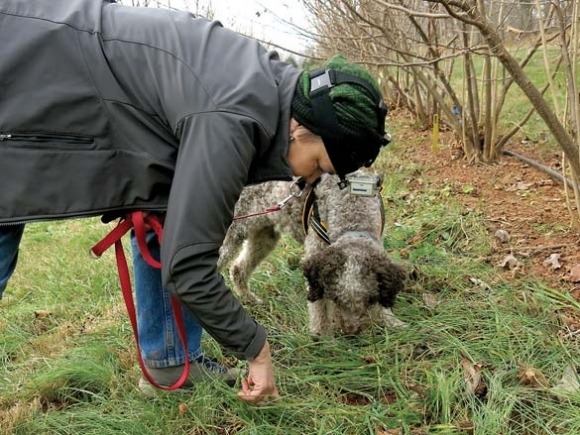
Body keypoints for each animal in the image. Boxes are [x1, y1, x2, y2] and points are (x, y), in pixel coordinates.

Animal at [220, 174, 406, 338]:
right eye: (335, 298)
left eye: (369, 300)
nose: (350, 332)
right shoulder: (316, 259)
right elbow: (320, 309)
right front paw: (324, 340)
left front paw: (391, 322)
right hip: (233, 231)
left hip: (264, 235)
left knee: (238, 268)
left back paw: (249, 298)